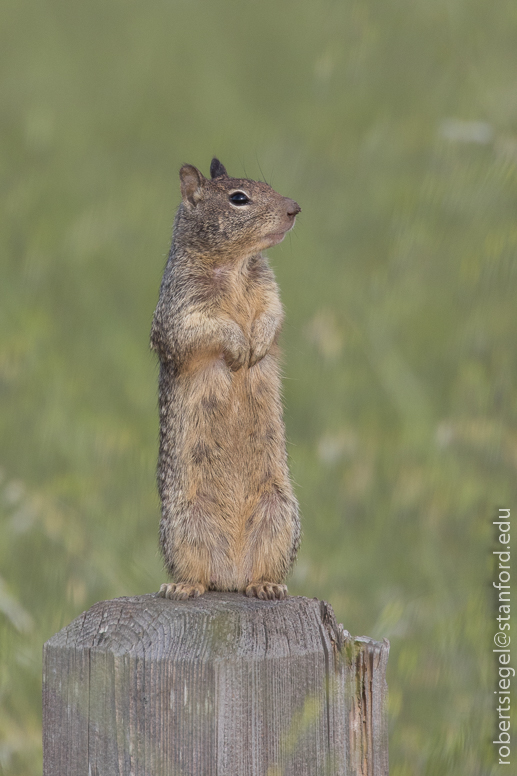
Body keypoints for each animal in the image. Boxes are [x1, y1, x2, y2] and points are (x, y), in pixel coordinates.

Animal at [149, 159, 300, 600]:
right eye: (239, 198)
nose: (294, 208)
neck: (235, 265)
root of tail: (231, 574)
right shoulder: (182, 309)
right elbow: (203, 330)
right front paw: (238, 348)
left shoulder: (269, 289)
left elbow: (273, 315)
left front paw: (258, 345)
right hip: (184, 526)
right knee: (197, 573)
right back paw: (183, 587)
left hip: (280, 515)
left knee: (263, 569)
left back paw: (266, 585)